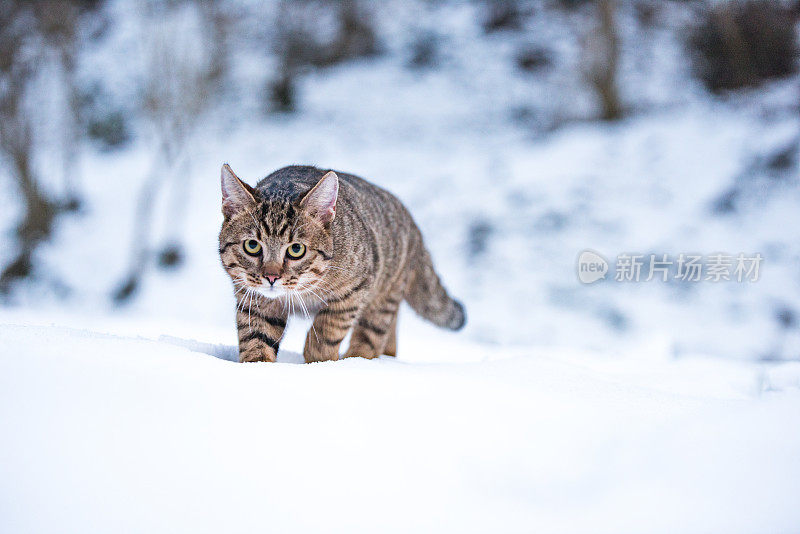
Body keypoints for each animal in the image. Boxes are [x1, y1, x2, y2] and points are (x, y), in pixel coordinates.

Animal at [222, 163, 466, 364]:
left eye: (296, 249)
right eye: (252, 246)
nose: (271, 277)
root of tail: (413, 224)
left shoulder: (355, 290)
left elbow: (327, 330)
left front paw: (320, 361)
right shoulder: (251, 298)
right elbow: (256, 338)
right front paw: (258, 367)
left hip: (385, 293)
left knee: (373, 333)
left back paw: (357, 360)